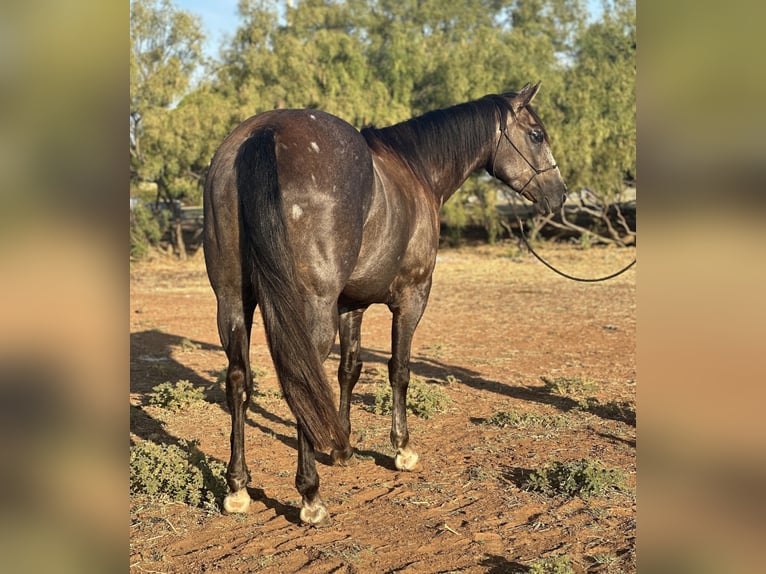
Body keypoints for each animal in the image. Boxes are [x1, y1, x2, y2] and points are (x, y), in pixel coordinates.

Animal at [204, 82, 568, 528]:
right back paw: (310, 495)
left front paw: (342, 448)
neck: (416, 170)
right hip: (310, 308)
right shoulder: (412, 297)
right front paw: (402, 448)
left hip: (232, 302)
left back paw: (237, 487)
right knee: (303, 379)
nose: (559, 195)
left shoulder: (351, 305)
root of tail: (265, 134)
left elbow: (349, 370)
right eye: (536, 135)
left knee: (239, 380)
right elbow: (399, 370)